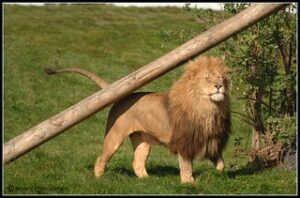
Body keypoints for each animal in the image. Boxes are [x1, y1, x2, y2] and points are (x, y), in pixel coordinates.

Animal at [45, 56, 232, 184]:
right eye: (207, 78)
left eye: (221, 77)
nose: (219, 86)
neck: (207, 106)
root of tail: (124, 96)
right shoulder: (184, 141)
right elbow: (186, 165)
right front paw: (188, 183)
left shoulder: (211, 138)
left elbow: (221, 163)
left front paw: (219, 173)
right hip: (114, 137)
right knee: (101, 158)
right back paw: (100, 178)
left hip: (143, 140)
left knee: (137, 162)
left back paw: (147, 179)